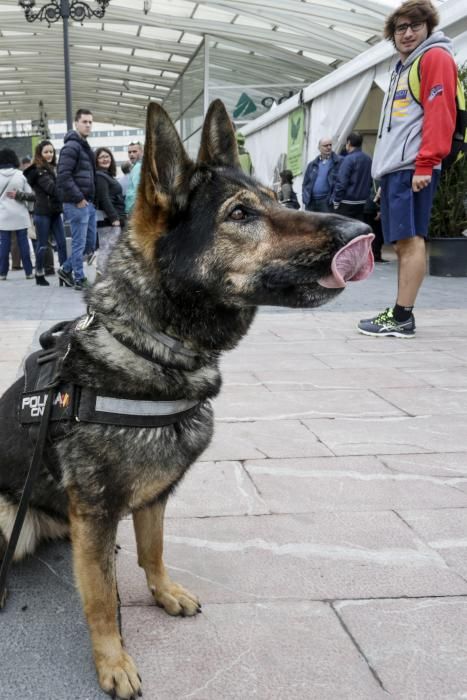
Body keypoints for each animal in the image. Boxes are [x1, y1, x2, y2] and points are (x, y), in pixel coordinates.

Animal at [0, 101, 372, 696]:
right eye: (241, 213)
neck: (153, 347)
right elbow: (101, 600)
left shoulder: (153, 497)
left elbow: (153, 550)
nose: (364, 230)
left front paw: (164, 592)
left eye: (274, 198)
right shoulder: (98, 509)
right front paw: (113, 662)